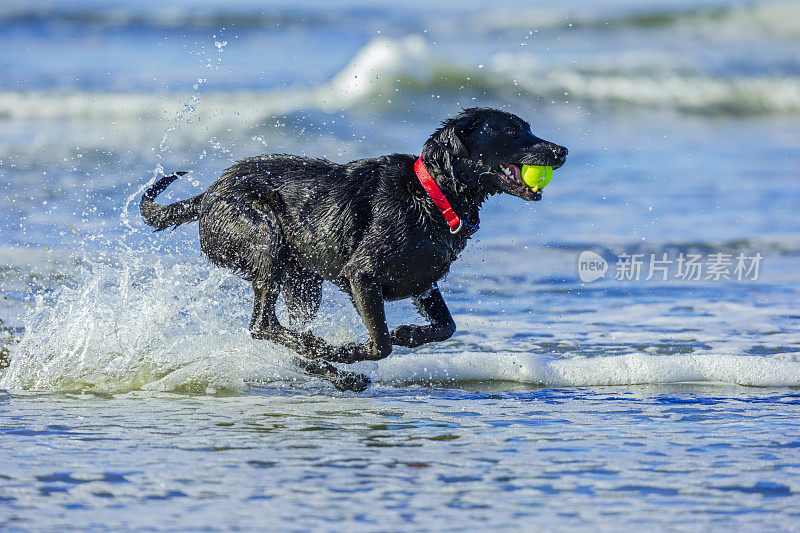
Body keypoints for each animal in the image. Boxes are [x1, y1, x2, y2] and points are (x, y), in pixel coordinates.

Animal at [141, 108, 564, 390]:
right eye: (512, 132)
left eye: (528, 128)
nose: (562, 151)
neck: (432, 194)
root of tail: (207, 196)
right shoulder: (362, 276)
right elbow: (380, 344)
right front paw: (348, 349)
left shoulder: (423, 284)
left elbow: (446, 326)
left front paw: (408, 333)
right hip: (266, 240)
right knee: (263, 324)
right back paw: (324, 352)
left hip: (303, 283)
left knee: (285, 334)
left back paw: (333, 370)